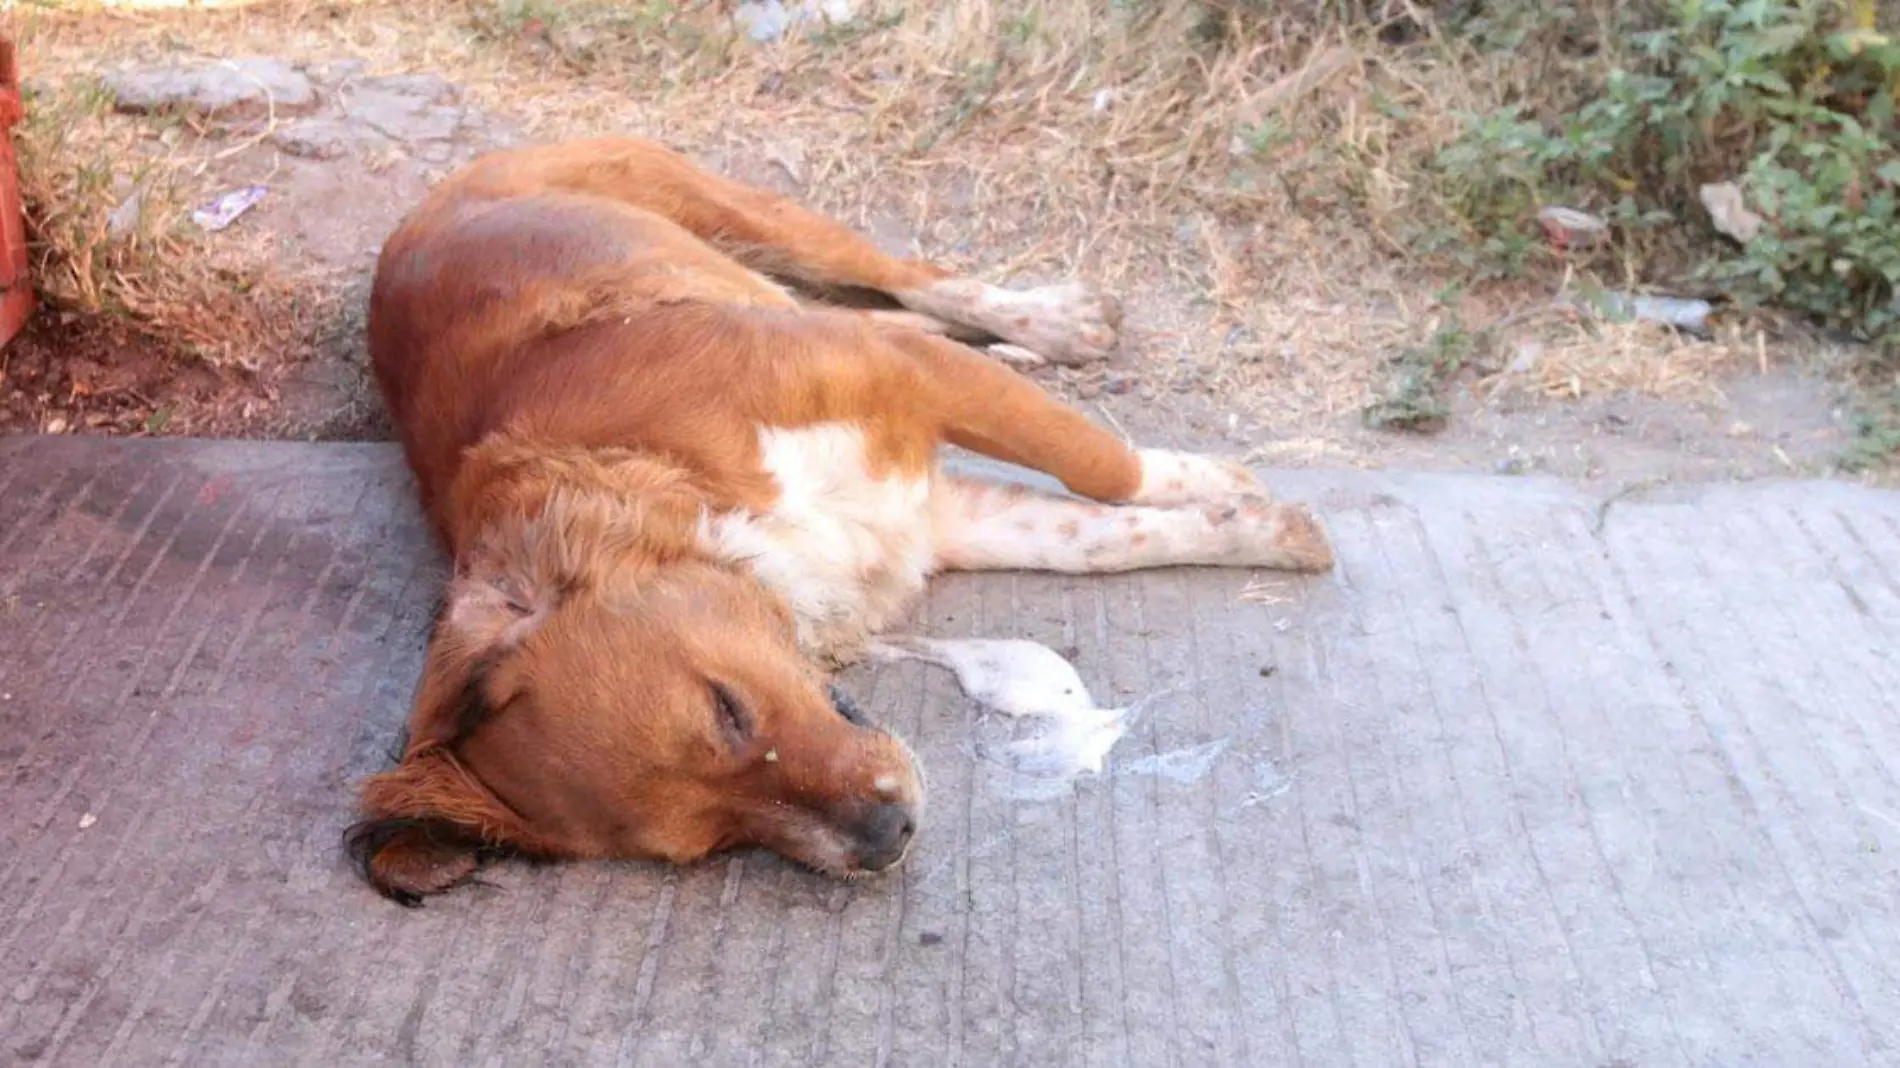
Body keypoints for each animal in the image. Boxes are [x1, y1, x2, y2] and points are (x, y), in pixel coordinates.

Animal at [353, 133, 1337, 896]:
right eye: (714, 841)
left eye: (727, 708)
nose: (886, 841)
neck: (681, 480)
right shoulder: (927, 517)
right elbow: (1095, 539)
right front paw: (1258, 530)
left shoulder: (910, 383)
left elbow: (1103, 466)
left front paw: (1219, 484)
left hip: (752, 215)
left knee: (914, 281)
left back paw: (1051, 320)